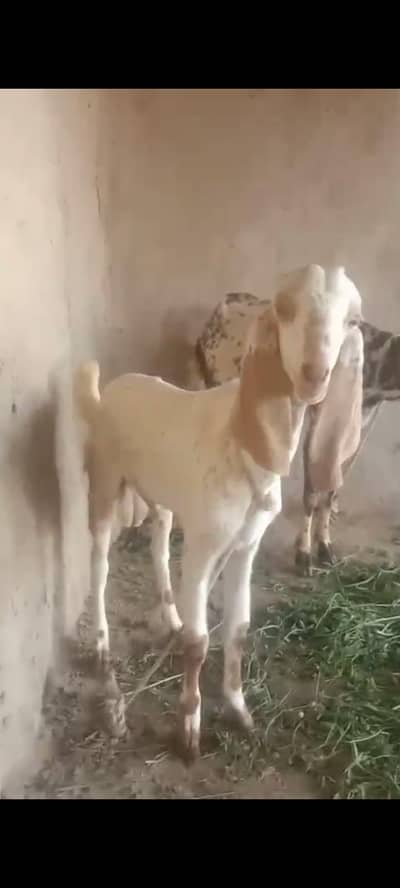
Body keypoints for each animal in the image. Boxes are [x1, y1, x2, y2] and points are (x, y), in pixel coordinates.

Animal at [75, 265, 363, 757]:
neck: (242, 445)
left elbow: (239, 628)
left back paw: (171, 616)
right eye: (285, 309)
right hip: (105, 482)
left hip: (163, 496)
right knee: (98, 563)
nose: (314, 375)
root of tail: (107, 391)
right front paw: (188, 731)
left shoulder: (245, 543)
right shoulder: (206, 543)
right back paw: (101, 649)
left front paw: (239, 711)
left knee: (158, 546)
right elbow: (198, 642)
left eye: (351, 321)